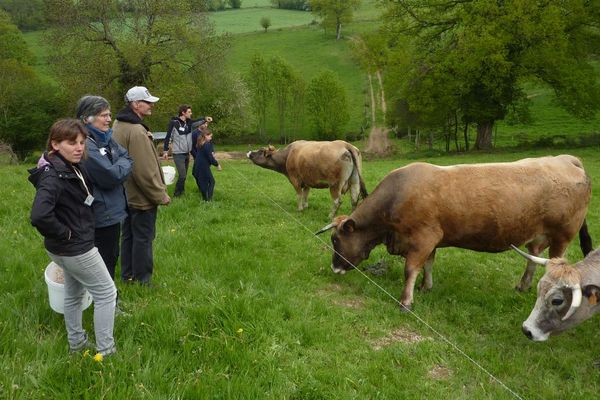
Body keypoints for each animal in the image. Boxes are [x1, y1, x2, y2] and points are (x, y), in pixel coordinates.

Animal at [316, 155, 592, 310]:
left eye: (336, 239)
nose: (334, 268)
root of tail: (565, 159)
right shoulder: (431, 241)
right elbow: (428, 265)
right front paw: (426, 287)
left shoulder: (422, 239)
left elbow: (411, 269)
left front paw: (406, 302)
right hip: (538, 235)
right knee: (533, 257)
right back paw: (522, 286)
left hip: (562, 235)